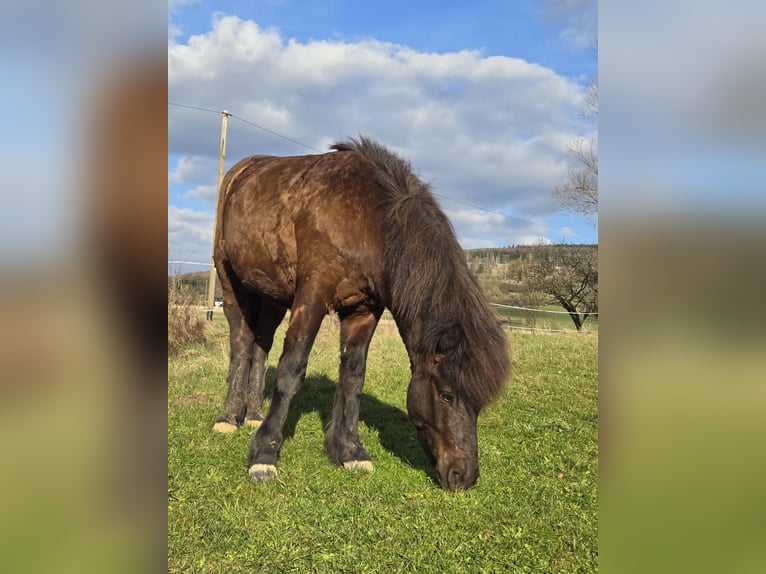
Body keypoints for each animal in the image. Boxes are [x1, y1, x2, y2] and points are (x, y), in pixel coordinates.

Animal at [211, 136, 510, 490]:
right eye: (447, 396)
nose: (464, 477)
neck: (369, 221)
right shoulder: (312, 296)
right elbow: (290, 372)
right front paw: (264, 455)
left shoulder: (364, 310)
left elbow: (353, 378)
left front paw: (350, 450)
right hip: (230, 280)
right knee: (241, 341)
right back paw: (229, 418)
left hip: (271, 294)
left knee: (261, 343)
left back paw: (254, 414)